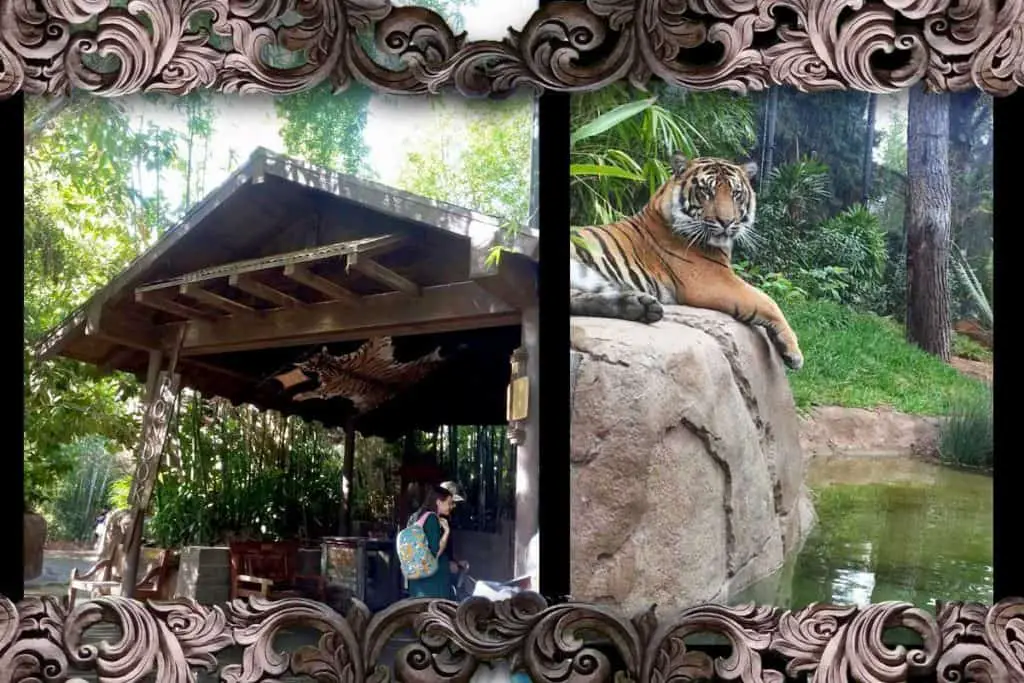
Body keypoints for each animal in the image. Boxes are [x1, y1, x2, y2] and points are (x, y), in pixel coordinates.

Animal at [573, 152, 802, 370]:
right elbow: (768, 301)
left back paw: (639, 306)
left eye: (736, 194)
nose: (726, 222)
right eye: (706, 191)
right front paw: (794, 353)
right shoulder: (712, 280)